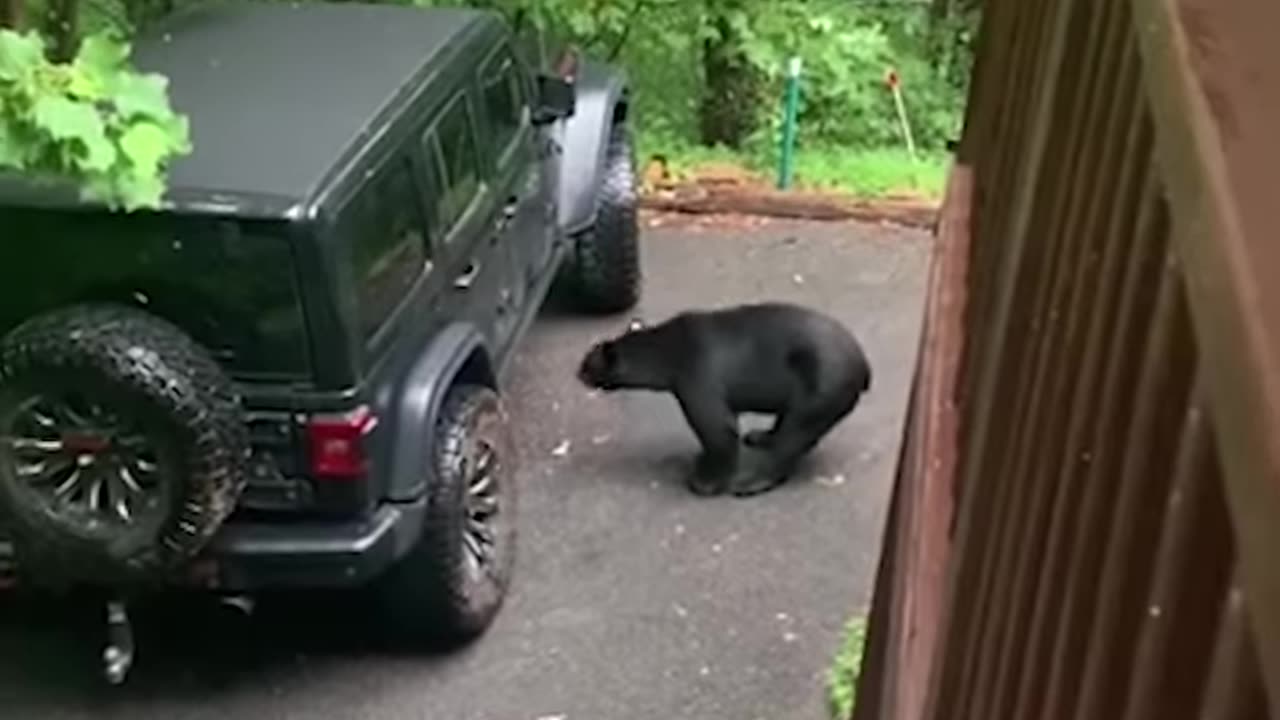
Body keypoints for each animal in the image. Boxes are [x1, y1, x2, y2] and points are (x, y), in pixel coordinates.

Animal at [578, 299, 870, 497]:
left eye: (587, 365)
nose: (577, 373)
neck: (667, 351)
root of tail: (864, 366)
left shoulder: (697, 375)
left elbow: (717, 427)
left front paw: (705, 481)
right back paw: (762, 436)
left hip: (822, 386)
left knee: (795, 433)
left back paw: (751, 481)